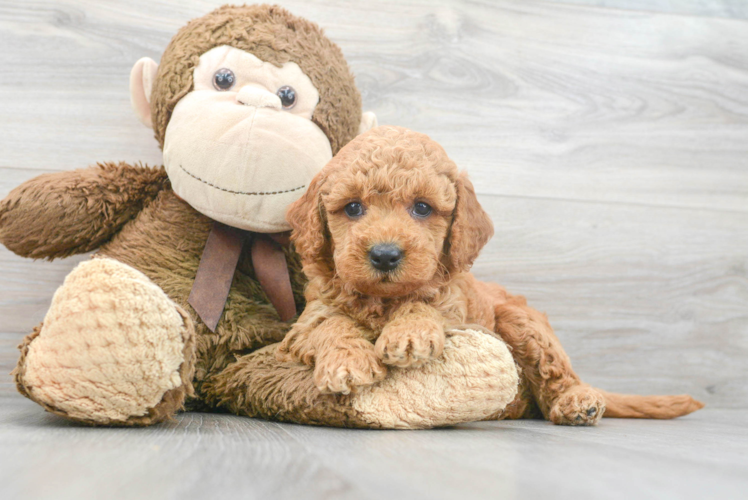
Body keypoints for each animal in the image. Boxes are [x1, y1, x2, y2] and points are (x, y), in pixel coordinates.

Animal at [278, 126, 704, 426]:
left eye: (422, 207)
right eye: (352, 208)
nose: (384, 255)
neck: (382, 300)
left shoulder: (454, 307)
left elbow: (422, 305)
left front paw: (409, 333)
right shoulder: (307, 320)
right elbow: (331, 325)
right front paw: (347, 362)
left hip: (519, 320)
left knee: (558, 376)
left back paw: (576, 401)